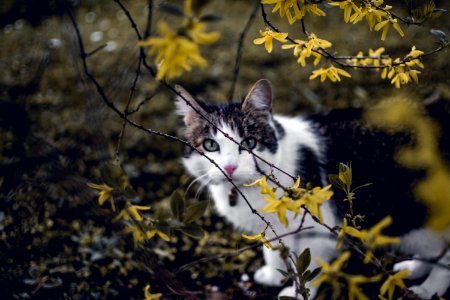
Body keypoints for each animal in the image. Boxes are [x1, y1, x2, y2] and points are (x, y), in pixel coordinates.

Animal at [176, 78, 450, 298]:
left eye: (249, 143)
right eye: (210, 145)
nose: (230, 167)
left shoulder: (318, 228)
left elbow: (309, 267)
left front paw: (299, 294)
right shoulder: (272, 226)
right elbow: (273, 250)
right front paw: (273, 276)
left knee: (444, 253)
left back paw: (428, 289)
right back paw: (412, 269)